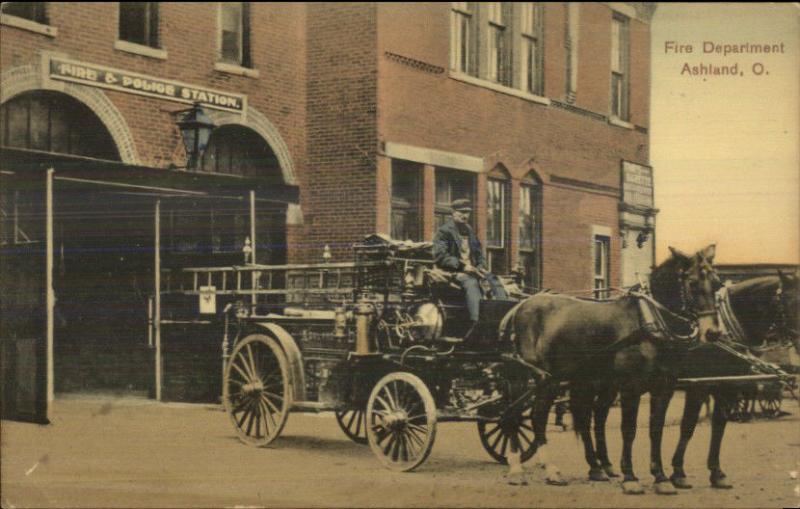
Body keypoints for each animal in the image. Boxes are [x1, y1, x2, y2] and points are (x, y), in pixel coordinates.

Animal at [500, 246, 720, 492]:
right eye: (692, 283)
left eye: (717, 283)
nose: (712, 333)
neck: (650, 320)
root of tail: (520, 306)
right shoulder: (631, 387)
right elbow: (629, 429)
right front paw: (630, 477)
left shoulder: (664, 387)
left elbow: (656, 428)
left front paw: (661, 477)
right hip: (536, 379)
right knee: (523, 414)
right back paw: (528, 469)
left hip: (571, 380)